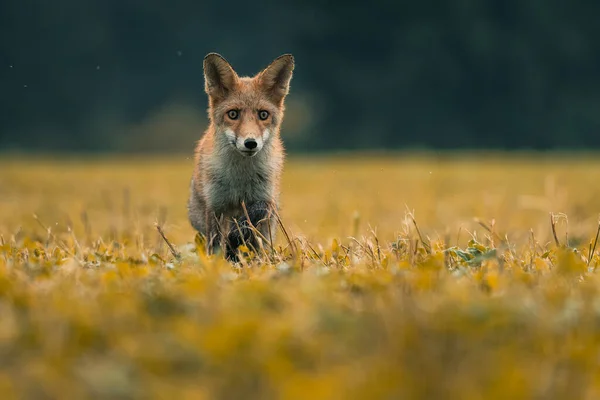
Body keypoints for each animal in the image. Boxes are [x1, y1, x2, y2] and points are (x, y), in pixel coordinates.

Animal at [185, 52, 292, 260]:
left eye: (263, 114)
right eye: (233, 114)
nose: (250, 143)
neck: (240, 178)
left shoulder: (265, 197)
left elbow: (251, 217)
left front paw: (235, 238)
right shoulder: (216, 204)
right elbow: (215, 241)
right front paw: (217, 261)